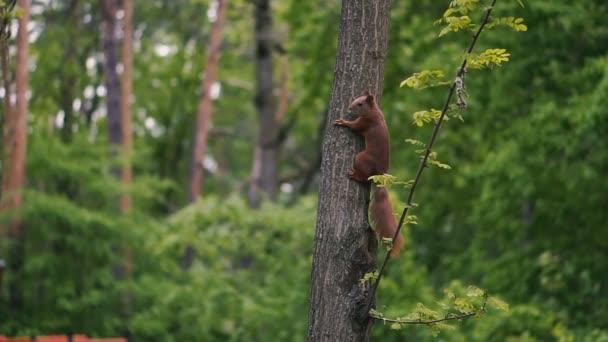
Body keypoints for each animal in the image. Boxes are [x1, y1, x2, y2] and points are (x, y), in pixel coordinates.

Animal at [338, 91, 404, 256]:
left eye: (360, 104)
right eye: (356, 99)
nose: (349, 107)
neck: (374, 111)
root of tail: (380, 174)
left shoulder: (365, 122)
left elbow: (354, 126)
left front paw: (343, 122)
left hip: (361, 158)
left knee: (363, 178)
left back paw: (355, 176)